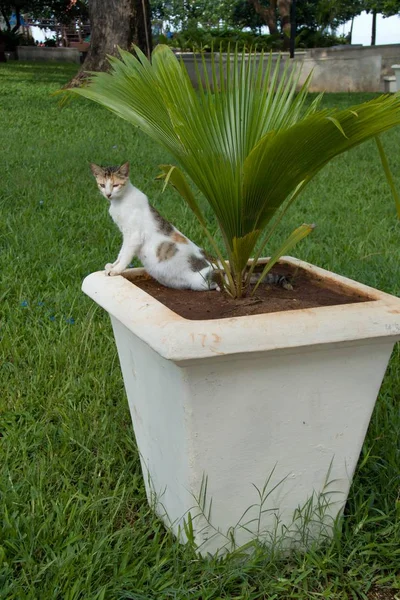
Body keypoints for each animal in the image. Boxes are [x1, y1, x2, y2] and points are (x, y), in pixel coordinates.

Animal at [90, 162, 290, 292]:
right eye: (102, 185)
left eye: (116, 185)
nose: (108, 194)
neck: (119, 203)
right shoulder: (126, 234)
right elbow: (121, 253)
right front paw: (112, 265)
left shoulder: (133, 235)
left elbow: (125, 255)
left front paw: (116, 270)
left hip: (203, 280)